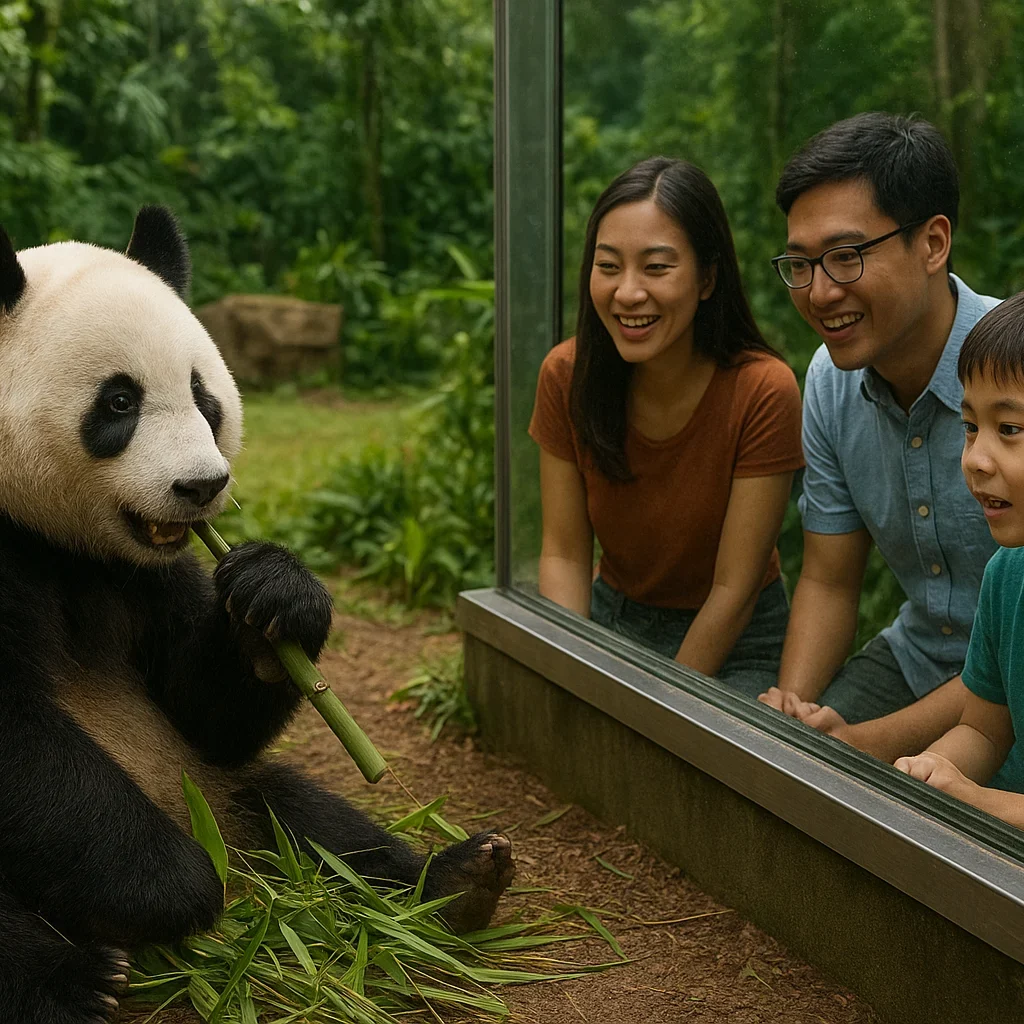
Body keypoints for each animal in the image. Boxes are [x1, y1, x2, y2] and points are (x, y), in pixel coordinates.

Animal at [0, 207, 514, 1024]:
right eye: (118, 402)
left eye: (203, 396)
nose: (201, 487)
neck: (53, 542)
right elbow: (19, 741)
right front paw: (169, 888)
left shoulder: (148, 574)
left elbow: (203, 704)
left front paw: (275, 597)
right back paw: (80, 980)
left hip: (221, 790)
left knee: (299, 812)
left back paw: (449, 884)